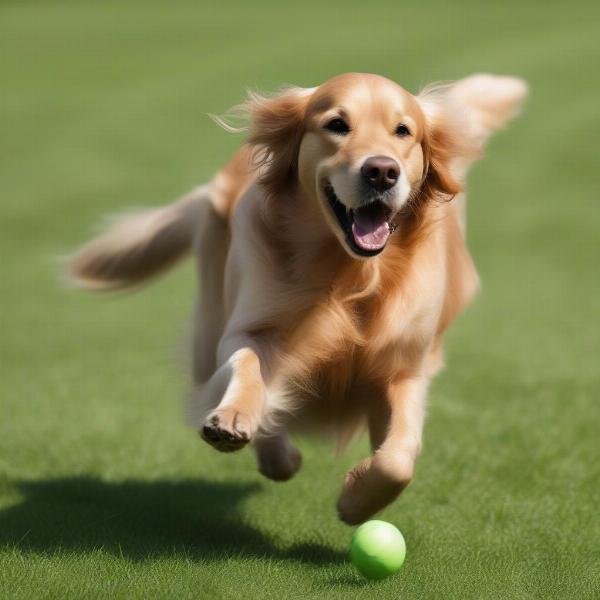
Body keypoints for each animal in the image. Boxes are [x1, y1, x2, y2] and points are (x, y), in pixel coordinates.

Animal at [69, 72, 524, 524]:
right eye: (338, 125)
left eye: (403, 131)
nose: (381, 172)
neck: (348, 276)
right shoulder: (249, 328)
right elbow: (249, 366)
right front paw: (234, 419)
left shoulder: (404, 367)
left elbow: (397, 461)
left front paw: (355, 501)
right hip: (210, 323)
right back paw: (274, 453)